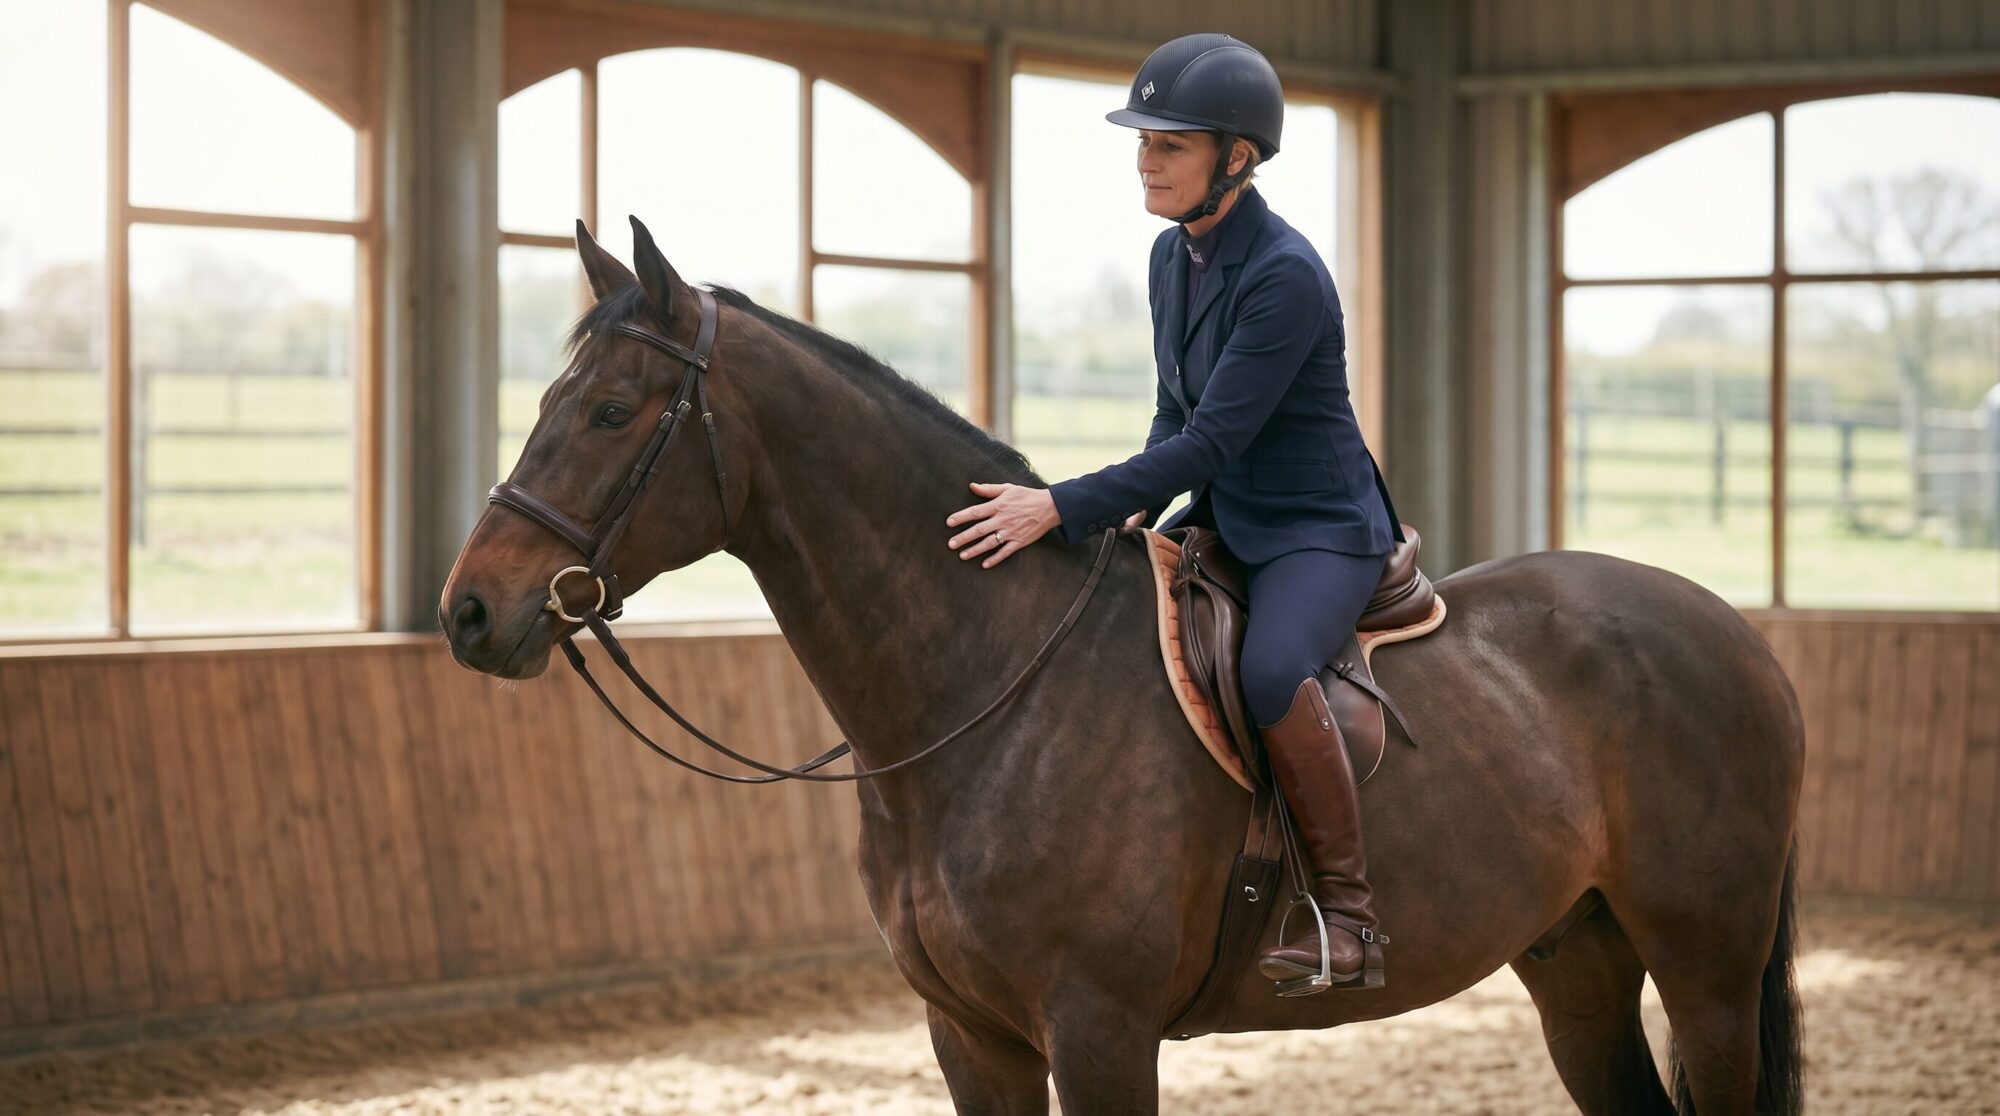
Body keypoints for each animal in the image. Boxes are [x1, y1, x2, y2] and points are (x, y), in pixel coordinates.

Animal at [439, 217, 1805, 1115]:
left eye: (611, 412)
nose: (468, 612)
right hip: (1576, 959)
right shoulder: (972, 1037)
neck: (985, 691)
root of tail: (1736, 633)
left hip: (1706, 965)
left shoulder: (1098, 1032)